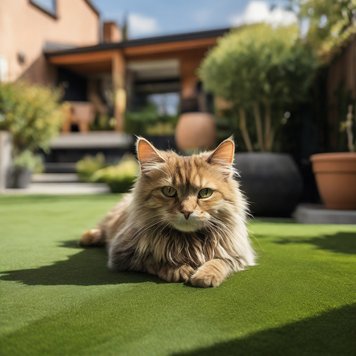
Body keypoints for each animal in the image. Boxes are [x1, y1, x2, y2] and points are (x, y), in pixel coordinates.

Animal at [79, 136, 254, 286]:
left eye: (205, 193)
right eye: (169, 191)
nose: (186, 211)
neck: (187, 241)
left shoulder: (238, 254)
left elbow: (220, 261)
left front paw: (206, 275)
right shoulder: (122, 254)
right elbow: (154, 259)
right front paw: (179, 269)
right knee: (101, 229)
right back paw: (88, 238)